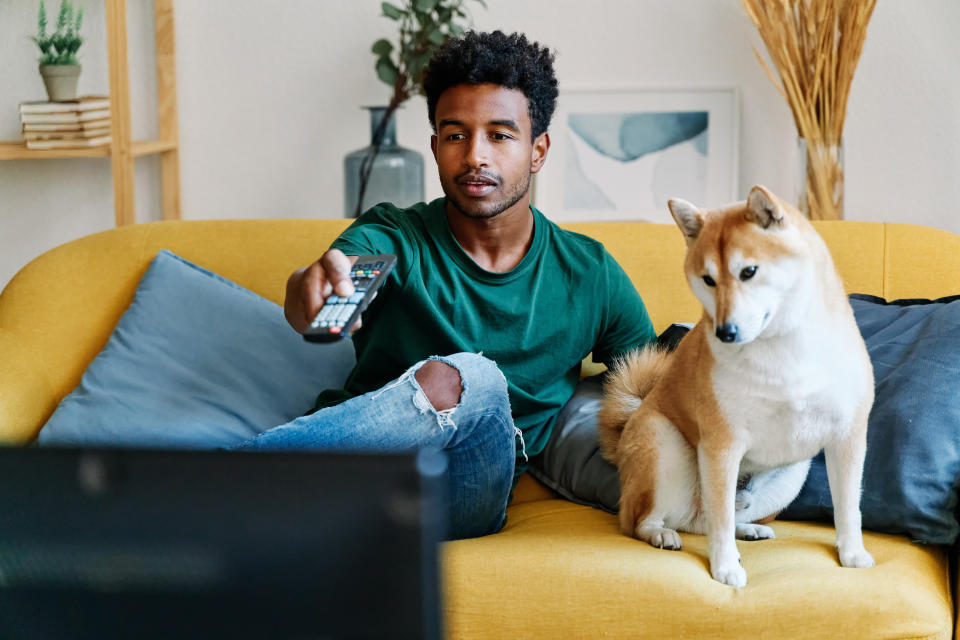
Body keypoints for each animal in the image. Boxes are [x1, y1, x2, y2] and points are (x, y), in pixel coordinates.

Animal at [604, 184, 872, 584]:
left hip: (794, 472)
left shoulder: (847, 436)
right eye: (707, 279)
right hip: (663, 446)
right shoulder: (721, 444)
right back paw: (661, 534)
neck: (782, 350)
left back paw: (748, 529)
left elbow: (848, 509)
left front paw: (852, 553)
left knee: (710, 520)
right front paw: (725, 568)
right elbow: (719, 522)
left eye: (749, 272)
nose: (725, 332)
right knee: (646, 521)